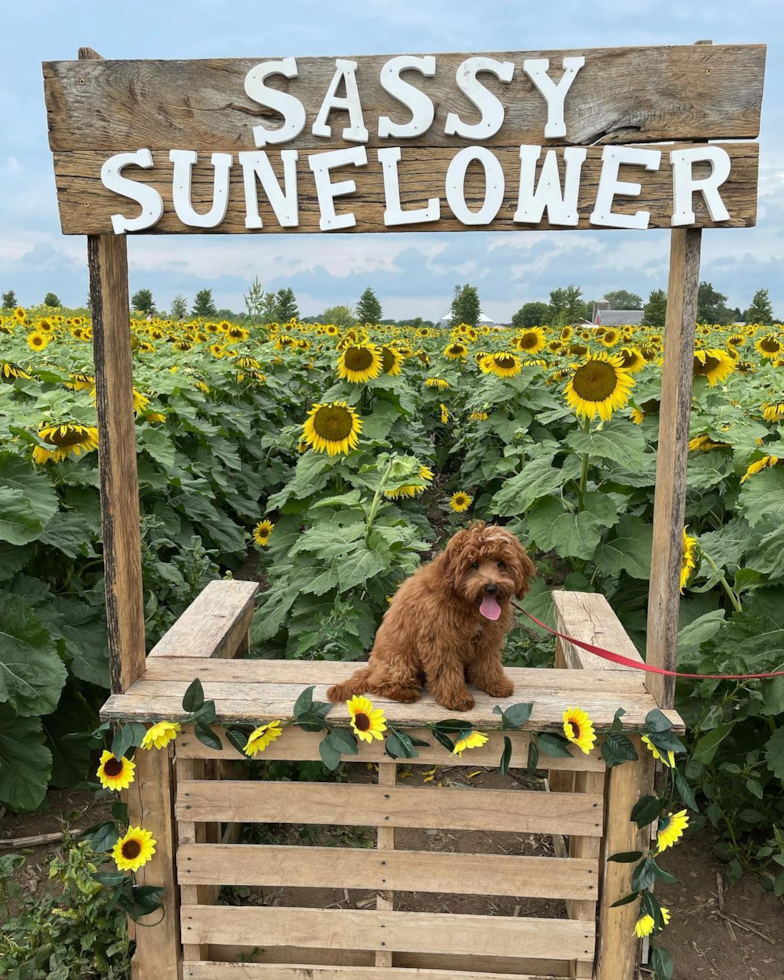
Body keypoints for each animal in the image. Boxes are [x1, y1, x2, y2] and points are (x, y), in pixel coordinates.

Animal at [324, 524, 532, 708]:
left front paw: (496, 685)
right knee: (378, 683)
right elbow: (446, 672)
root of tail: (371, 668)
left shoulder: (488, 640)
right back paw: (404, 693)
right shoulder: (440, 641)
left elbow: (489, 665)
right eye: (474, 564)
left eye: (500, 563)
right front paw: (456, 698)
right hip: (401, 661)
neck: (466, 603)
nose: (491, 588)